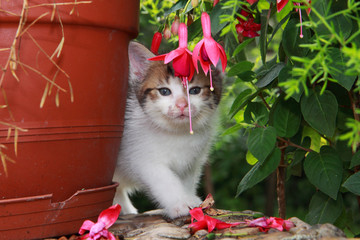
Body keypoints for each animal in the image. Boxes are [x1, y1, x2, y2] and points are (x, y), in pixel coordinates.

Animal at [114, 42, 224, 218]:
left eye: (195, 90)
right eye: (164, 91)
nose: (182, 105)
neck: (177, 133)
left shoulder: (193, 160)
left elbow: (187, 178)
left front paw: (189, 198)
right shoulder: (141, 157)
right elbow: (165, 180)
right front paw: (179, 204)